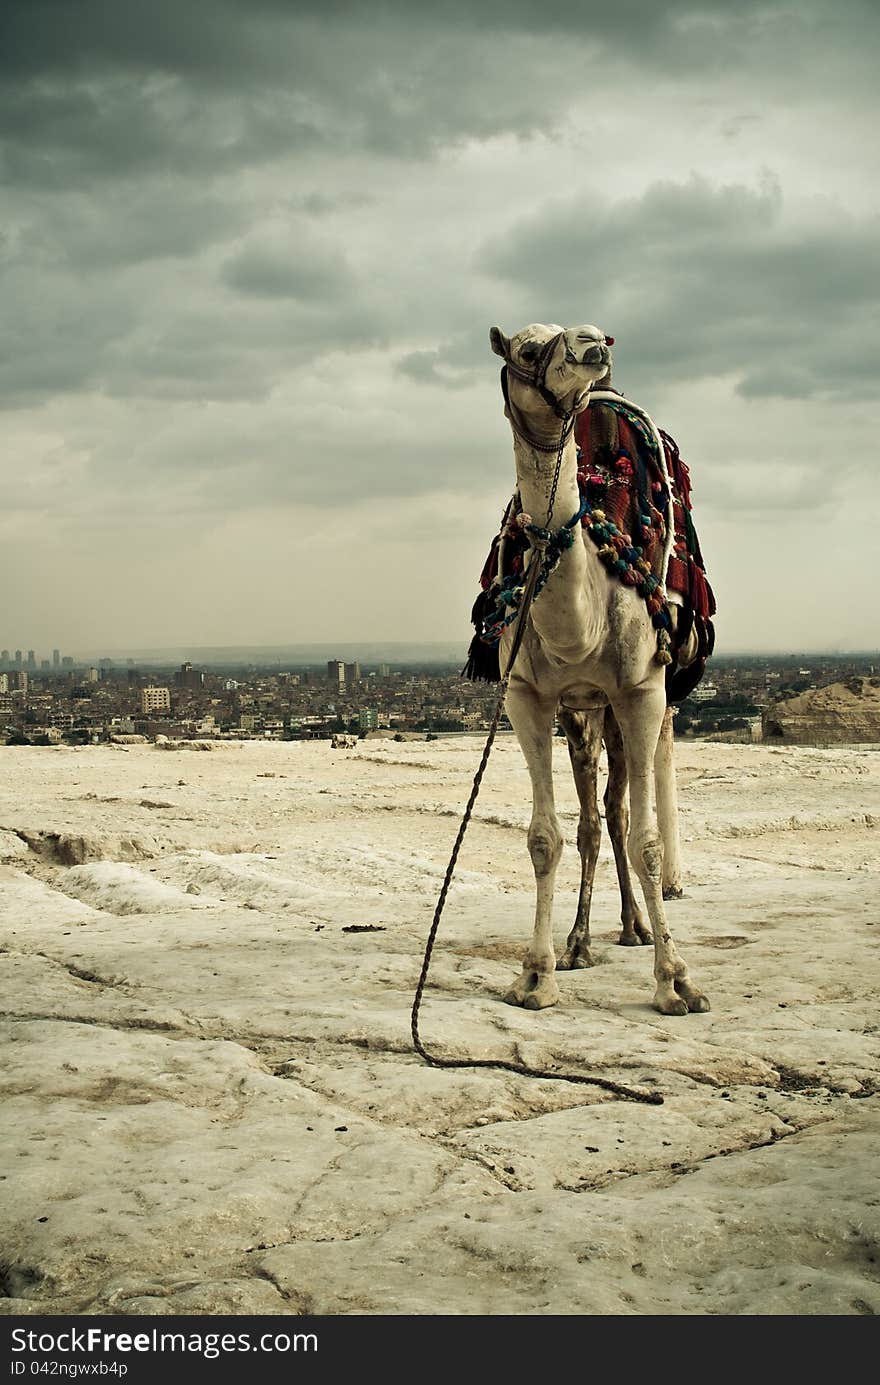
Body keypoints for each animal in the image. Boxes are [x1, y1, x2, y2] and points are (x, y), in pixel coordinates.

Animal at [487, 324, 709, 1019]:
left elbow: (646, 841)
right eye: (525, 349)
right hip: (584, 710)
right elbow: (545, 837)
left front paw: (677, 982)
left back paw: (642, 923)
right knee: (594, 815)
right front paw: (536, 976)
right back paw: (585, 941)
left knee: (630, 803)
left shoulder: (639, 690)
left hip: (649, 696)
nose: (590, 345)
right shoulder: (527, 695)